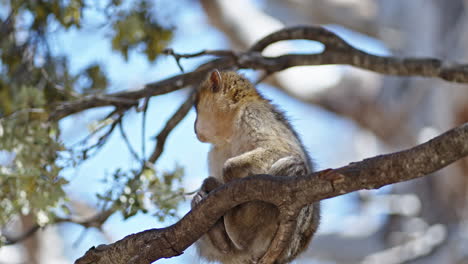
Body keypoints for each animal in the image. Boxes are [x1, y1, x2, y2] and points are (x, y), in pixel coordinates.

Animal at [189, 70, 318, 264]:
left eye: (197, 110)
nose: (194, 127)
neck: (231, 131)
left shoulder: (254, 114)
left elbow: (284, 151)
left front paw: (226, 176)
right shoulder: (214, 151)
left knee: (295, 167)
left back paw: (236, 226)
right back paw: (218, 233)